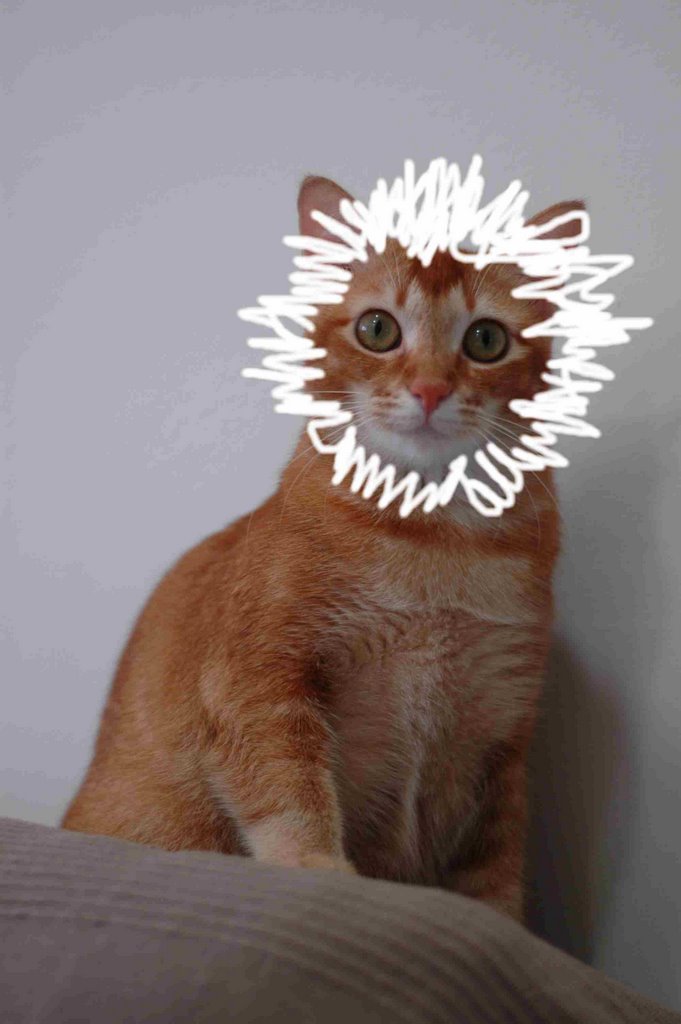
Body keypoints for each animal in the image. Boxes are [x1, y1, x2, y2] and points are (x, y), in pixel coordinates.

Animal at [62, 174, 582, 922]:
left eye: (486, 339)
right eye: (377, 329)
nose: (430, 388)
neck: (434, 542)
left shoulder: (502, 738)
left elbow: (495, 875)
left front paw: (499, 927)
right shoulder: (259, 681)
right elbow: (290, 789)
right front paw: (319, 870)